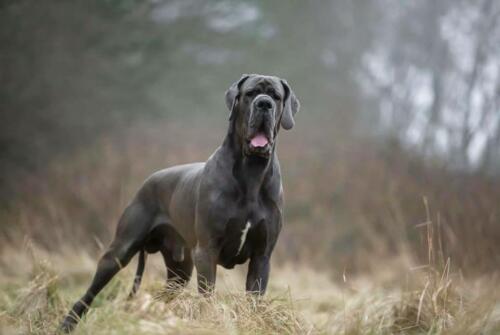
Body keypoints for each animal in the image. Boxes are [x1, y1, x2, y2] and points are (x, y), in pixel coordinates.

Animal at [60, 72, 298, 332]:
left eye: (275, 96)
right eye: (250, 94)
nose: (264, 104)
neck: (252, 172)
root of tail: (148, 180)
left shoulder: (261, 257)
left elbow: (254, 299)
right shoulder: (207, 251)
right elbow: (207, 297)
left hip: (179, 271)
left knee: (160, 296)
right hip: (120, 251)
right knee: (88, 294)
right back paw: (68, 324)